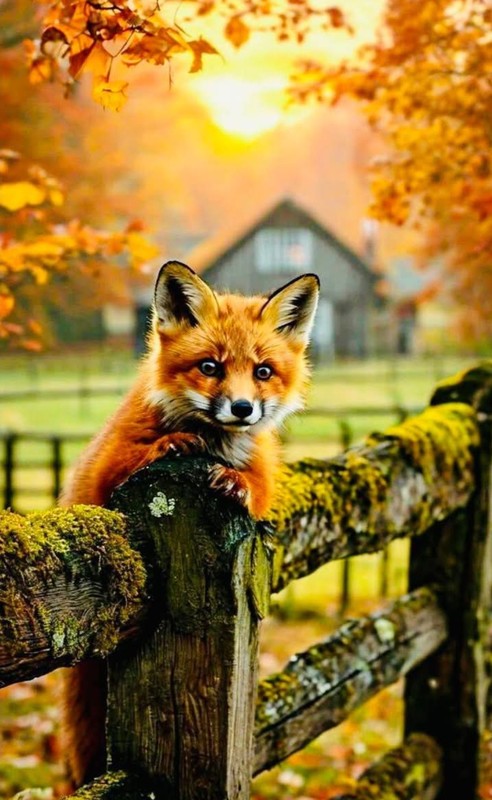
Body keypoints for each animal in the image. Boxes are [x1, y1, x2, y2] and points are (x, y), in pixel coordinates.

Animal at [59, 260, 319, 787]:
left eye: (262, 372)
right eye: (210, 367)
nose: (242, 409)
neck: (216, 443)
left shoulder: (265, 475)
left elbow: (254, 487)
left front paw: (233, 482)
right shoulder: (106, 472)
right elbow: (141, 454)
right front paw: (174, 444)